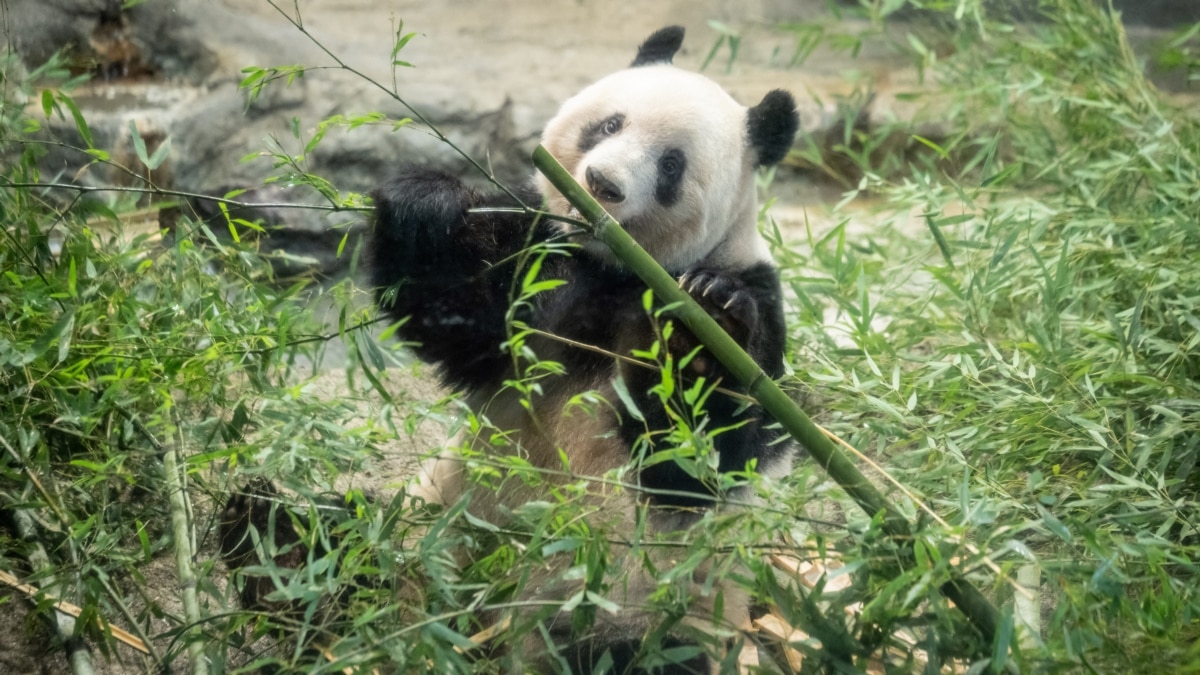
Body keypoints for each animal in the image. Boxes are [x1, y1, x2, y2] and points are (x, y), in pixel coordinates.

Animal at [364, 23, 796, 667]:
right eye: (610, 124)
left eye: (671, 165)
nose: (602, 184)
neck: (615, 265)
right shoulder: (540, 257)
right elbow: (456, 315)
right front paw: (425, 202)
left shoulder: (754, 301)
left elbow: (701, 459)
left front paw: (703, 322)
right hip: (432, 532)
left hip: (647, 607)